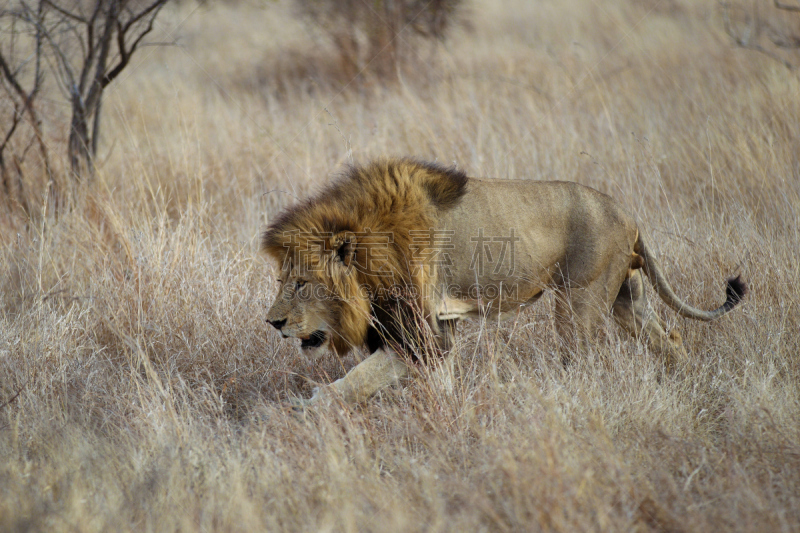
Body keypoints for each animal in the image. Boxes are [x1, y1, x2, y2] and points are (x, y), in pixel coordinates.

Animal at [264, 158, 752, 404]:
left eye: (303, 284)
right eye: (283, 280)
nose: (273, 323)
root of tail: (628, 214)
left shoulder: (420, 331)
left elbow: (355, 381)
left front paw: (305, 408)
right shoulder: (438, 326)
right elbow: (438, 380)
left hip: (579, 301)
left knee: (585, 359)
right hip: (626, 298)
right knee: (670, 339)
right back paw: (691, 385)